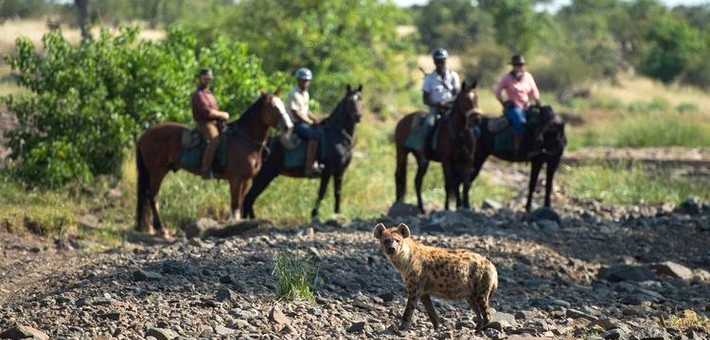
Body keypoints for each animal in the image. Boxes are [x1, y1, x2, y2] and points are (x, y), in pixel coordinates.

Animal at [135, 89, 294, 235]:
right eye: (273, 107)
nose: (288, 126)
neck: (245, 139)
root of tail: (144, 135)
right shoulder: (235, 179)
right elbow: (235, 205)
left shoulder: (245, 180)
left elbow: (240, 202)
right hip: (157, 171)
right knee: (152, 196)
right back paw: (161, 228)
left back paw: (149, 228)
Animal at [245, 83, 368, 219]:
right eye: (349, 101)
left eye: (360, 99)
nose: (358, 116)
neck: (338, 136)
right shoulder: (327, 171)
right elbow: (321, 193)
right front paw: (314, 214)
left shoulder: (340, 172)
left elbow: (338, 192)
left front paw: (337, 214)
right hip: (264, 176)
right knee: (249, 199)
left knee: (250, 200)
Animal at [394, 80, 484, 212]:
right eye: (465, 99)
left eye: (477, 98)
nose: (477, 119)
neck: (460, 133)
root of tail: (402, 121)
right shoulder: (446, 161)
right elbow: (448, 184)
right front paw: (447, 208)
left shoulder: (467, 161)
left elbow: (464, 184)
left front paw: (464, 206)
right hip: (401, 154)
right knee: (399, 176)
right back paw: (397, 203)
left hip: (421, 160)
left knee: (417, 181)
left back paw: (421, 209)